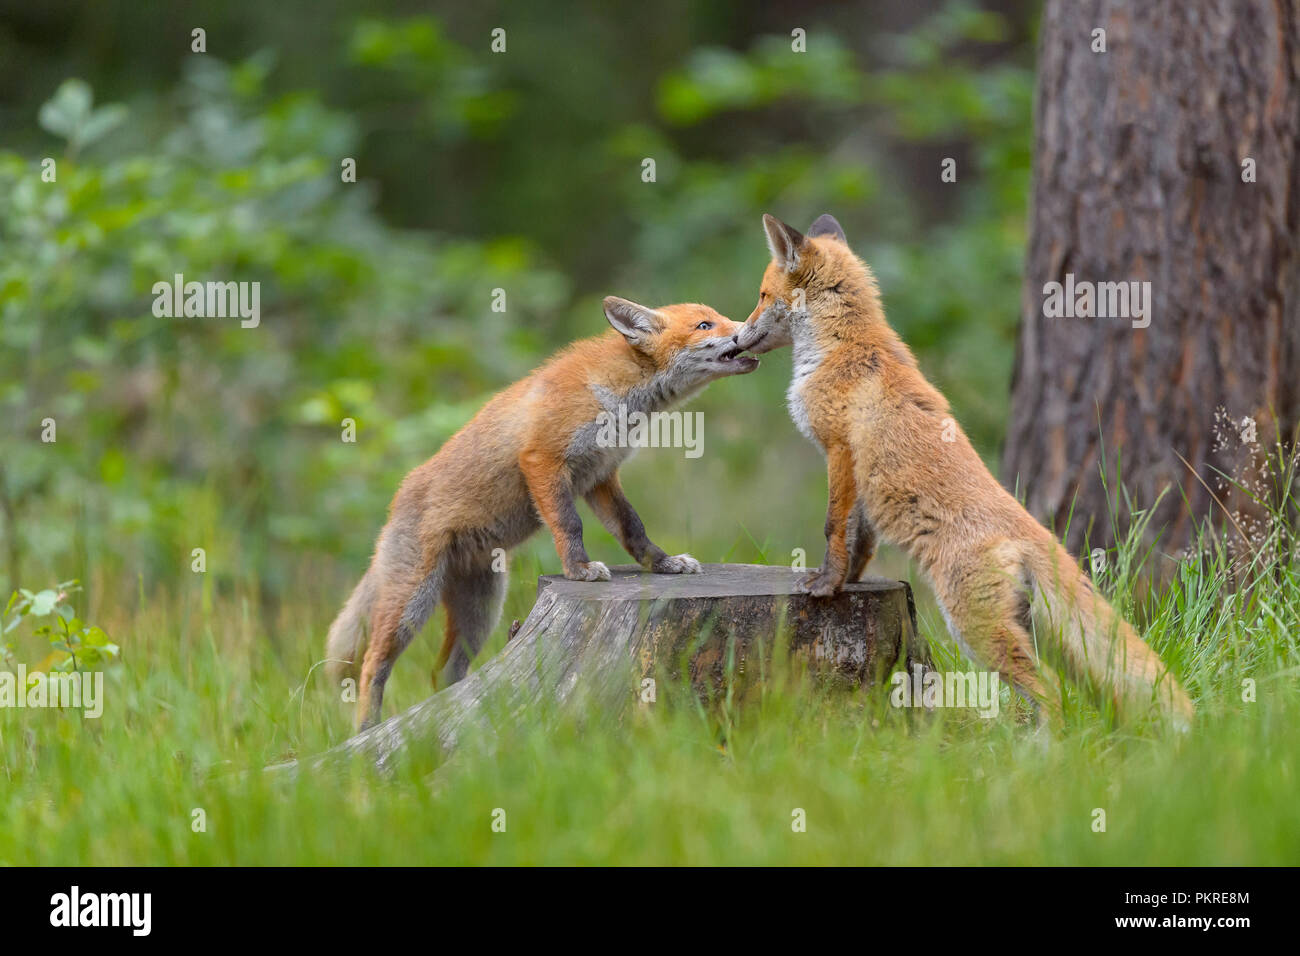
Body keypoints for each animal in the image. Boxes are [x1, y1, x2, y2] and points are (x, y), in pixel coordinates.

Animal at [325, 295, 759, 728]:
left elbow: (633, 528)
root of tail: (392, 511)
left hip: (481, 611)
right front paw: (579, 570)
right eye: (705, 325)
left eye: (720, 317)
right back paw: (367, 728)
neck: (616, 396)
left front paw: (664, 564)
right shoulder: (544, 461)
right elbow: (569, 524)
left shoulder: (600, 476)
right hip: (413, 602)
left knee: (442, 671)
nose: (749, 327)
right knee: (373, 663)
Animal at [738, 213, 1190, 728]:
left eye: (761, 295)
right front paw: (850, 581)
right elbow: (861, 541)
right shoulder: (862, 475)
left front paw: (826, 585)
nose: (735, 337)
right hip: (1026, 629)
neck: (845, 345)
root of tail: (1036, 533)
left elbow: (834, 526)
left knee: (1053, 693)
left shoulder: (840, 451)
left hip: (974, 628)